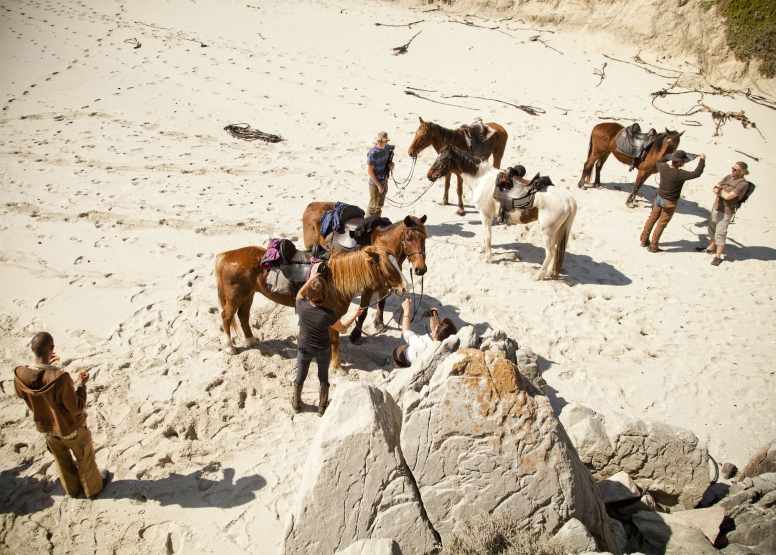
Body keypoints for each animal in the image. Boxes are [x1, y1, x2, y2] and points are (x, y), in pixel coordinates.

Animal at [215, 244, 410, 370]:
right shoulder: (333, 317)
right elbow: (335, 342)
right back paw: (229, 347)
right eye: (388, 267)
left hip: (248, 295)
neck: (334, 279)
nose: (405, 288)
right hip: (235, 297)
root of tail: (226, 256)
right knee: (226, 317)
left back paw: (250, 340)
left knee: (243, 316)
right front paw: (338, 368)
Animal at [302, 202, 428, 340]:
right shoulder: (367, 290)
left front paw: (378, 323)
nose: (421, 269)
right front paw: (356, 334)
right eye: (409, 239)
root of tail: (313, 204)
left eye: (424, 238)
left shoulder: (386, 285)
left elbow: (381, 303)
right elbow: (363, 311)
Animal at [424, 146, 576, 280]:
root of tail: (568, 199)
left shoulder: (485, 215)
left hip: (547, 232)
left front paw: (488, 257)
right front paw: (482, 249)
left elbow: (488, 236)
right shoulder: (487, 216)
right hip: (556, 231)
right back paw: (549, 272)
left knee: (550, 252)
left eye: (442, 159)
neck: (482, 179)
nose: (429, 175)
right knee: (556, 249)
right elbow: (485, 234)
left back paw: (539, 275)